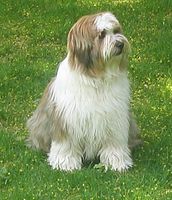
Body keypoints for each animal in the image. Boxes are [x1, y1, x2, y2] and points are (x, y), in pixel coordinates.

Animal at [26, 11, 140, 172]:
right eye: (101, 35)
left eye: (116, 31)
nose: (120, 44)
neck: (97, 78)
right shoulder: (67, 118)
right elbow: (66, 144)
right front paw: (65, 163)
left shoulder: (115, 117)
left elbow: (114, 141)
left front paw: (116, 162)